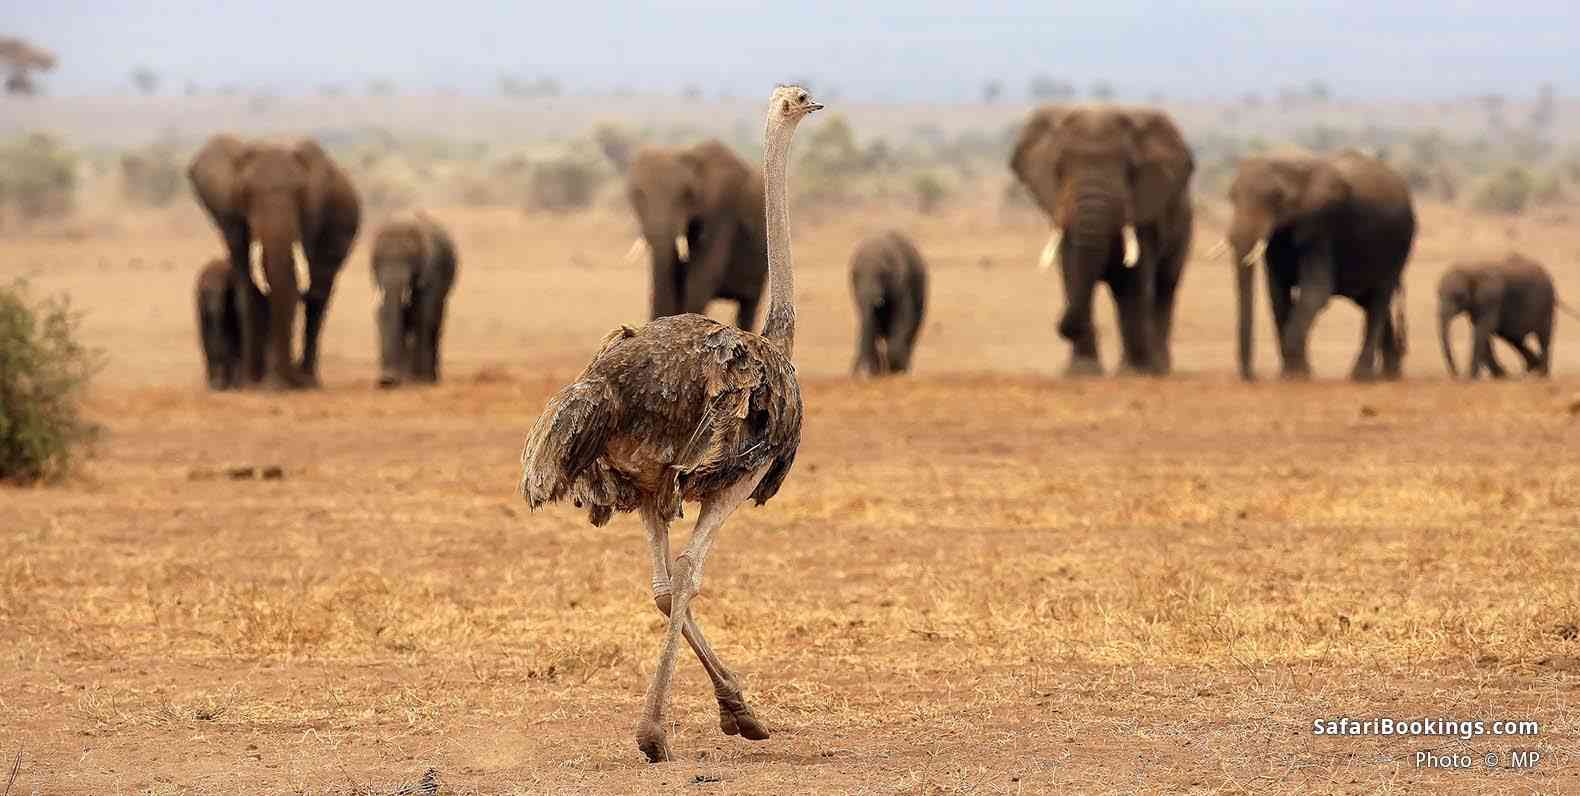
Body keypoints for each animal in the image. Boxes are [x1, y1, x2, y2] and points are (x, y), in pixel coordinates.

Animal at [188, 135, 361, 389]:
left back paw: (307, 380)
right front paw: (250, 385)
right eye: (246, 193)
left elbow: (292, 286)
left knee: (318, 298)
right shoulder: (231, 219)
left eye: (300, 193)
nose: (285, 382)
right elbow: (247, 285)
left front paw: (275, 385)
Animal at [371, 211, 459, 387]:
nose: (386, 380)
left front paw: (418, 381)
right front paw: (397, 380)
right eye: (378, 260)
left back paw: (429, 378)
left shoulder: (431, 267)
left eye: (410, 259)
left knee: (434, 319)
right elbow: (394, 315)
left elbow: (423, 313)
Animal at [850, 231, 928, 376]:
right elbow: (870, 323)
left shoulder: (902, 282)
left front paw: (895, 369)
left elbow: (903, 317)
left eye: (882, 274)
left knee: (912, 329)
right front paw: (877, 372)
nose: (857, 372)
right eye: (855, 275)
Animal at [1010, 104, 1195, 376]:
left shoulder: (1144, 214)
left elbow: (1134, 281)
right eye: (1060, 168)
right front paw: (1082, 372)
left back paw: (1158, 368)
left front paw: (1132, 373)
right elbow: (1072, 272)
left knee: (1164, 288)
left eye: (1130, 168)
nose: (1060, 325)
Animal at [1221, 150, 1415, 382]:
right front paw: (1292, 374)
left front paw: (1296, 376)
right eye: (1231, 196)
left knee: (1379, 299)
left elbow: (1316, 291)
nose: (1253, 376)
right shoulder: (1279, 239)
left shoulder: (1321, 227)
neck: (1295, 166)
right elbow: (1277, 293)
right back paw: (1390, 374)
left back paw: (1362, 376)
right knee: (1371, 302)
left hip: (1399, 245)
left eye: (1277, 197)